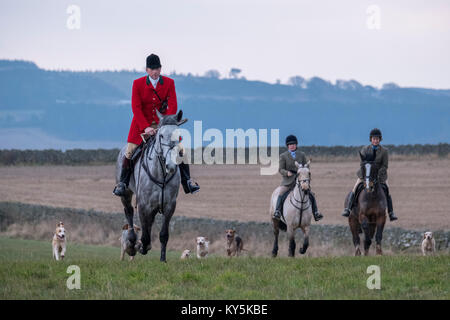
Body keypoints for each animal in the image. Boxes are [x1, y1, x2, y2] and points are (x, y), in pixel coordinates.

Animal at [117, 109, 187, 262]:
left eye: (178, 135)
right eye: (161, 135)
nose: (171, 166)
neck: (161, 173)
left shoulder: (169, 205)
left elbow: (163, 234)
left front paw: (162, 259)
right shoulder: (144, 204)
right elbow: (144, 234)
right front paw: (140, 246)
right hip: (126, 194)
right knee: (129, 212)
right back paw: (132, 243)